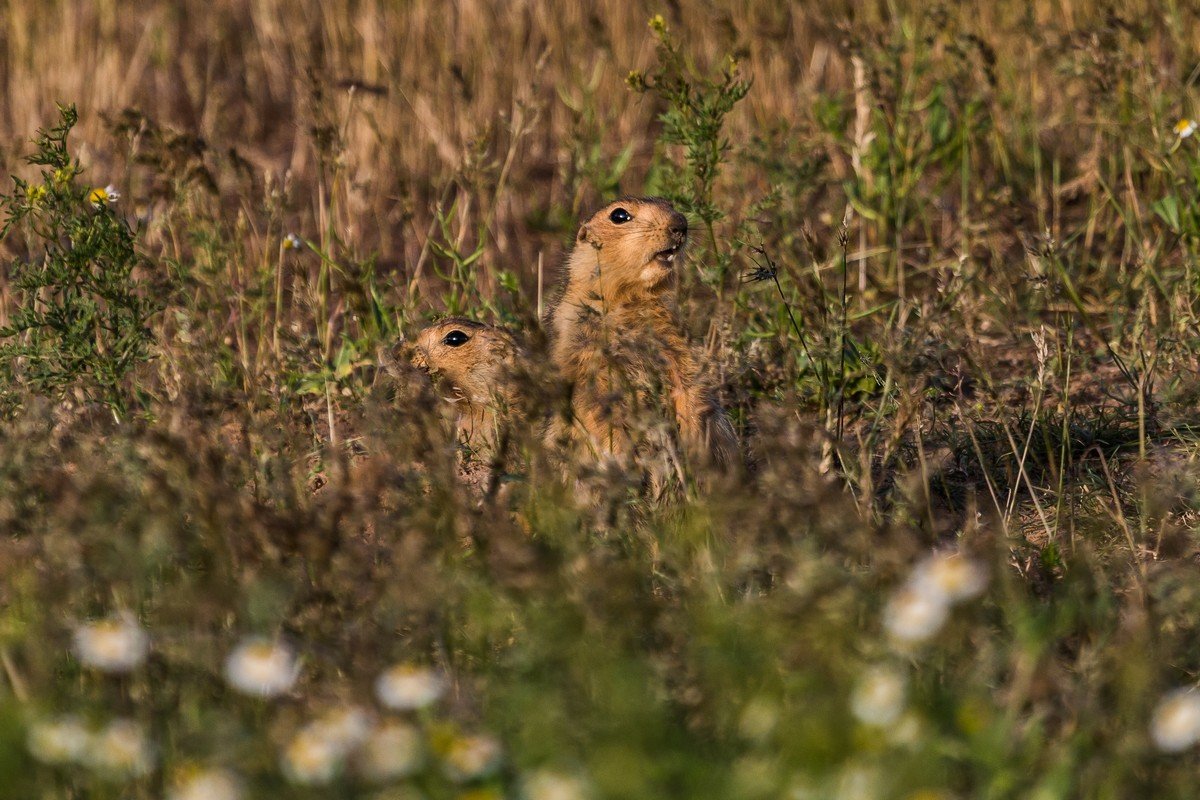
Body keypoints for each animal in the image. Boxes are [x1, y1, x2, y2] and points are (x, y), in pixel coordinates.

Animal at [547, 197, 734, 472]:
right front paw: (620, 454)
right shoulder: (580, 343)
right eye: (619, 215)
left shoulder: (674, 336)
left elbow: (689, 379)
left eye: (669, 203)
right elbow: (595, 403)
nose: (681, 223)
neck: (627, 300)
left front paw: (694, 440)